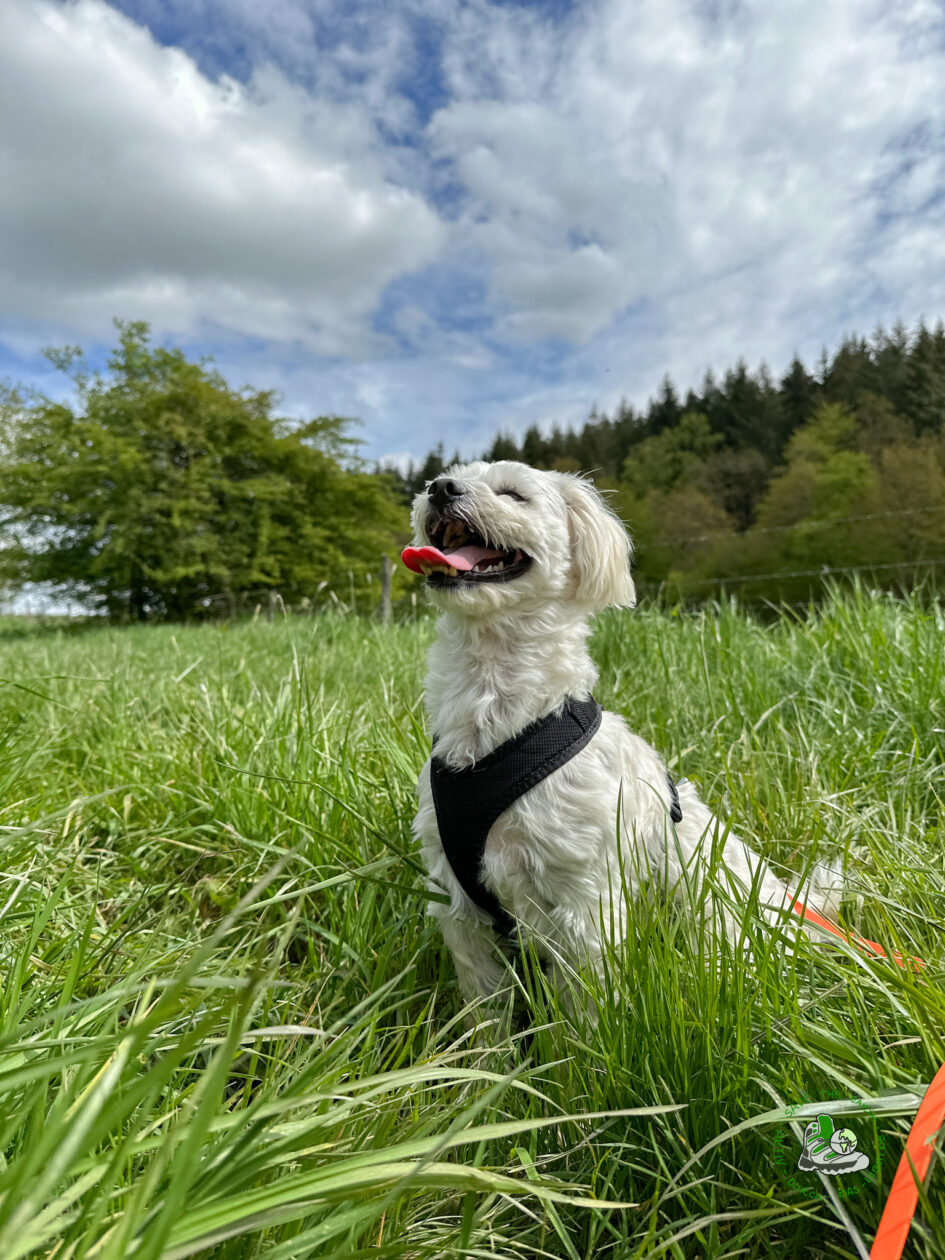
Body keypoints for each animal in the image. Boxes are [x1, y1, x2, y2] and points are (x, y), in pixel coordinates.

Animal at [405, 463, 826, 1002]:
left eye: (514, 495)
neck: (496, 714)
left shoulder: (584, 902)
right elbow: (484, 1006)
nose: (440, 488)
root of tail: (791, 904)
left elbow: (587, 1008)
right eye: (443, 478)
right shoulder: (458, 902)